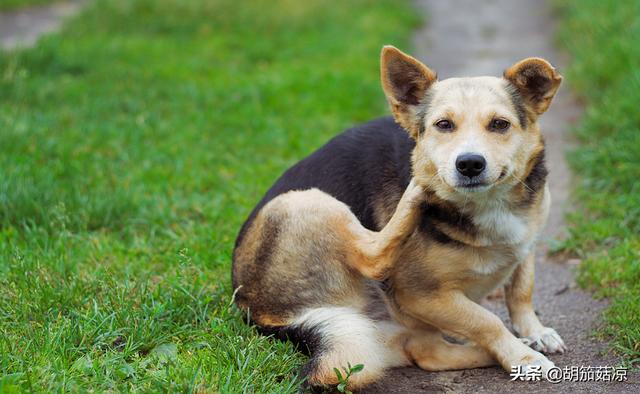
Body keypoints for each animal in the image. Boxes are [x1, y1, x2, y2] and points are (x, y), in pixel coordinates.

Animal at [231, 44, 564, 390]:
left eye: (499, 124)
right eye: (443, 125)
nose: (469, 164)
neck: (490, 203)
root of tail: (259, 312)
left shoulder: (527, 241)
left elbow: (521, 290)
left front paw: (534, 333)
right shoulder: (420, 294)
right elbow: (488, 320)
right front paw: (522, 356)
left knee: (427, 353)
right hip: (306, 200)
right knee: (374, 259)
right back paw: (418, 191)